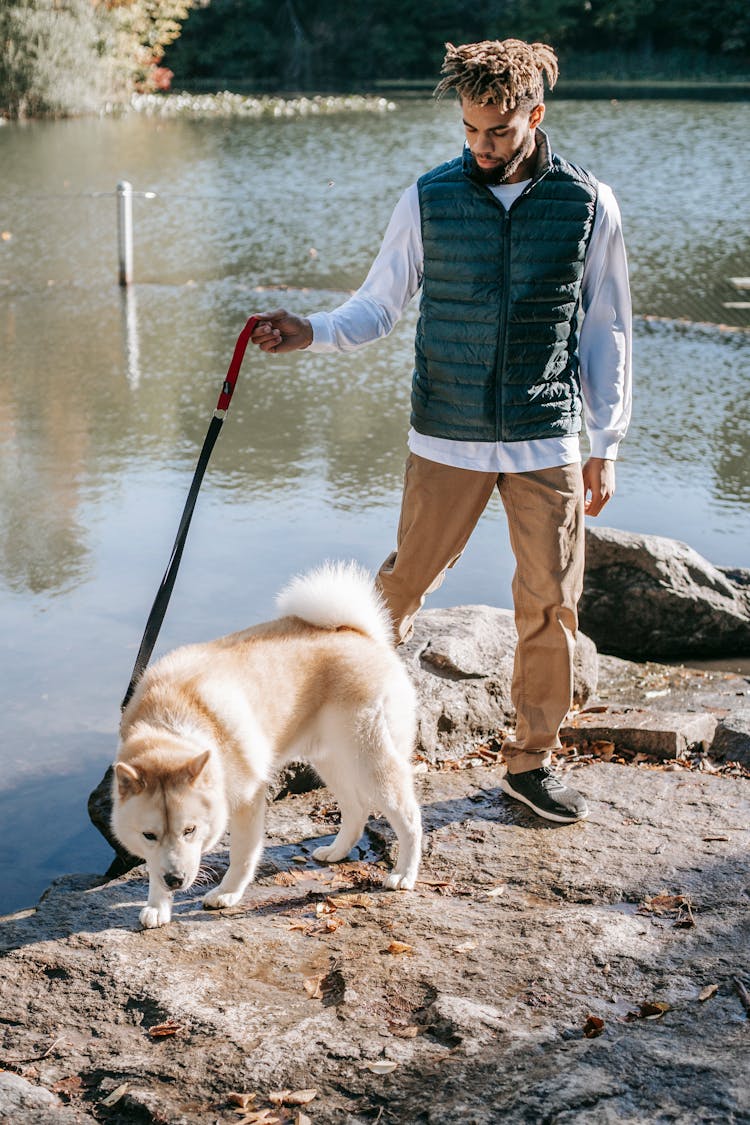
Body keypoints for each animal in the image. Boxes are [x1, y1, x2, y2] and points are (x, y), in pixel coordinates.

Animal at [111, 558, 422, 927]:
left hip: (370, 761)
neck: (171, 724)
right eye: (149, 835)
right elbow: (153, 866)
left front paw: (227, 893)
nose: (175, 880)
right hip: (331, 760)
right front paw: (158, 904)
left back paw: (404, 874)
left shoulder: (248, 799)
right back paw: (337, 851)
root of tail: (359, 634)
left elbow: (243, 854)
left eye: (190, 830)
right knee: (357, 808)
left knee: (410, 818)